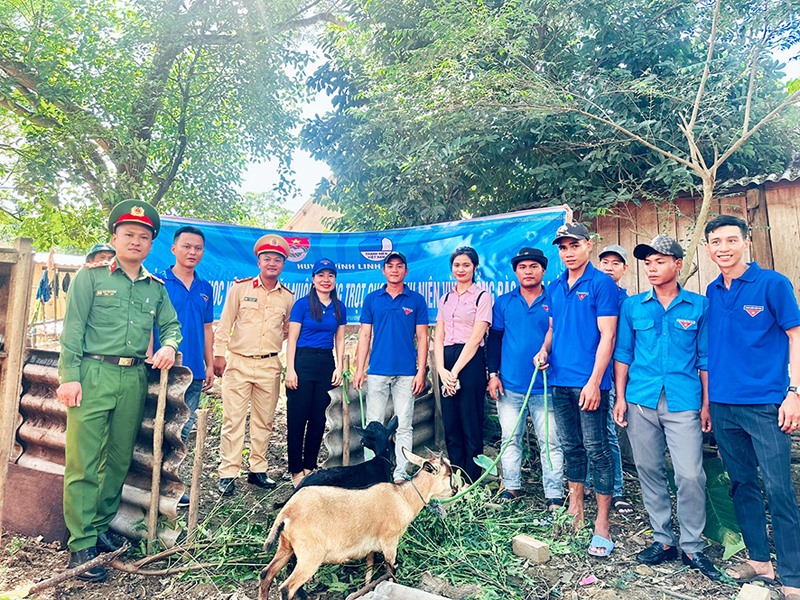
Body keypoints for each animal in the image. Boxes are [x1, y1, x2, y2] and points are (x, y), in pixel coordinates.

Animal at [260, 450, 454, 600]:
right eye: (449, 474)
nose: (455, 490)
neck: (402, 497)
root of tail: (287, 513)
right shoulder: (390, 542)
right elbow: (391, 570)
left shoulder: (370, 546)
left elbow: (369, 569)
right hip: (309, 556)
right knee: (287, 588)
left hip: (286, 547)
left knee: (266, 574)